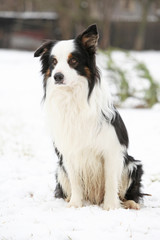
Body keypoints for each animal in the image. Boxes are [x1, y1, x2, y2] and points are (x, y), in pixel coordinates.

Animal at [34, 24, 143, 210]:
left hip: (132, 165)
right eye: (54, 62)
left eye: (73, 61)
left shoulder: (111, 150)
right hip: (60, 169)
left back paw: (129, 203)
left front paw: (111, 207)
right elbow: (75, 181)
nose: (57, 76)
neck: (73, 96)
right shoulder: (69, 151)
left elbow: (111, 182)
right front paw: (75, 204)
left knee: (127, 192)